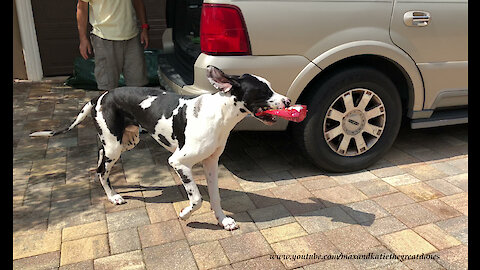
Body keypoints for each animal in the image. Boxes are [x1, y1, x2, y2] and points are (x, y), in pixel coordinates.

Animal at [31, 65, 292, 230]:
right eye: (263, 91)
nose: (288, 101)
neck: (217, 114)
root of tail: (99, 97)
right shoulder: (178, 162)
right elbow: (197, 198)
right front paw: (186, 214)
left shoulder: (211, 164)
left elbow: (215, 197)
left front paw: (222, 220)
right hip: (115, 146)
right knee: (101, 171)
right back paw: (113, 196)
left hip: (124, 142)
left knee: (99, 157)